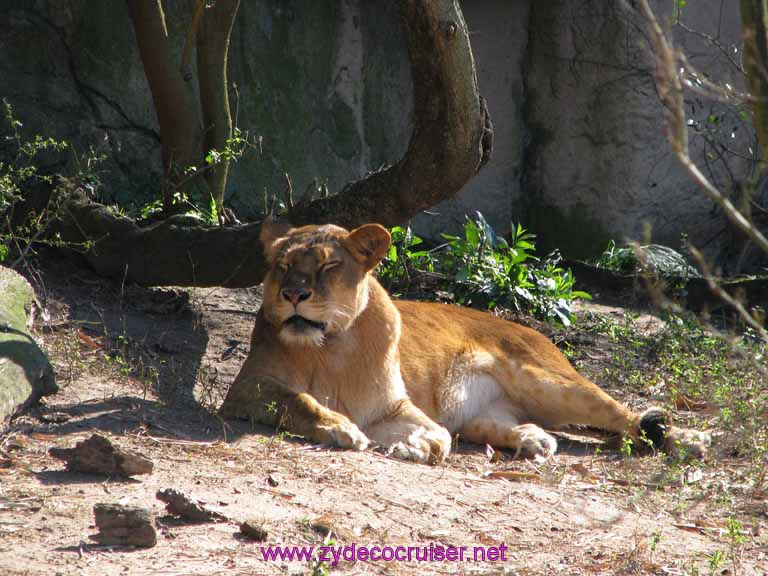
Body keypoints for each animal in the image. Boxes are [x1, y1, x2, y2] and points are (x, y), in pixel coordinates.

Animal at [219, 220, 710, 464]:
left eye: (326, 267)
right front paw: (340, 427)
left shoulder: (392, 409)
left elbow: (437, 434)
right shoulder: (246, 389)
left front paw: (416, 448)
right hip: (483, 413)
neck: (333, 346)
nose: (293, 295)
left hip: (552, 381)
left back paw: (689, 441)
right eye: (283, 266)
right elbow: (300, 399)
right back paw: (534, 441)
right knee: (513, 425)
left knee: (624, 415)